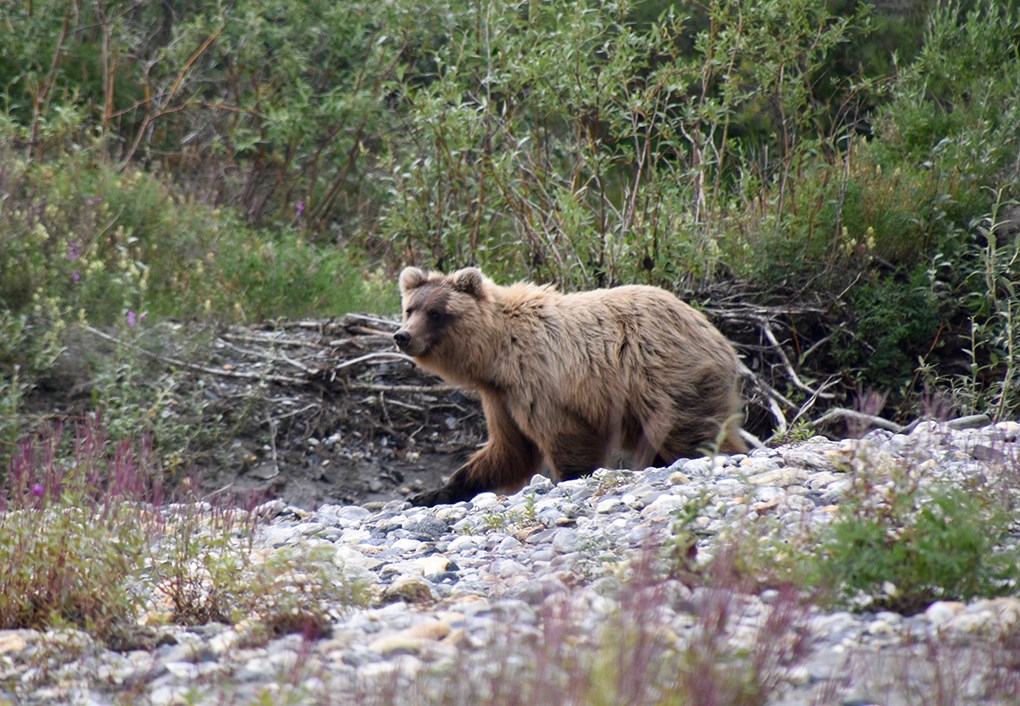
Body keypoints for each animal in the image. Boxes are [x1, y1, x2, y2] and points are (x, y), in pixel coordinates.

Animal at [393, 267, 746, 503]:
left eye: (436, 313)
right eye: (410, 308)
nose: (402, 335)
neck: (496, 353)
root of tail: (717, 334)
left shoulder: (542, 381)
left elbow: (563, 438)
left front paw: (570, 476)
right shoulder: (499, 396)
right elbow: (508, 449)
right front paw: (433, 492)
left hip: (664, 376)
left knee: (691, 431)